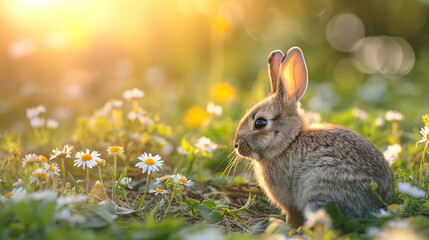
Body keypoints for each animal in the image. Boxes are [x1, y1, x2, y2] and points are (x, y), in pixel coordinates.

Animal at [232, 47, 392, 229]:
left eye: (260, 123)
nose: (236, 145)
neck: (288, 143)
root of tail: (380, 204)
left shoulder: (288, 199)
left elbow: (292, 214)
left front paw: (284, 225)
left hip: (320, 189)